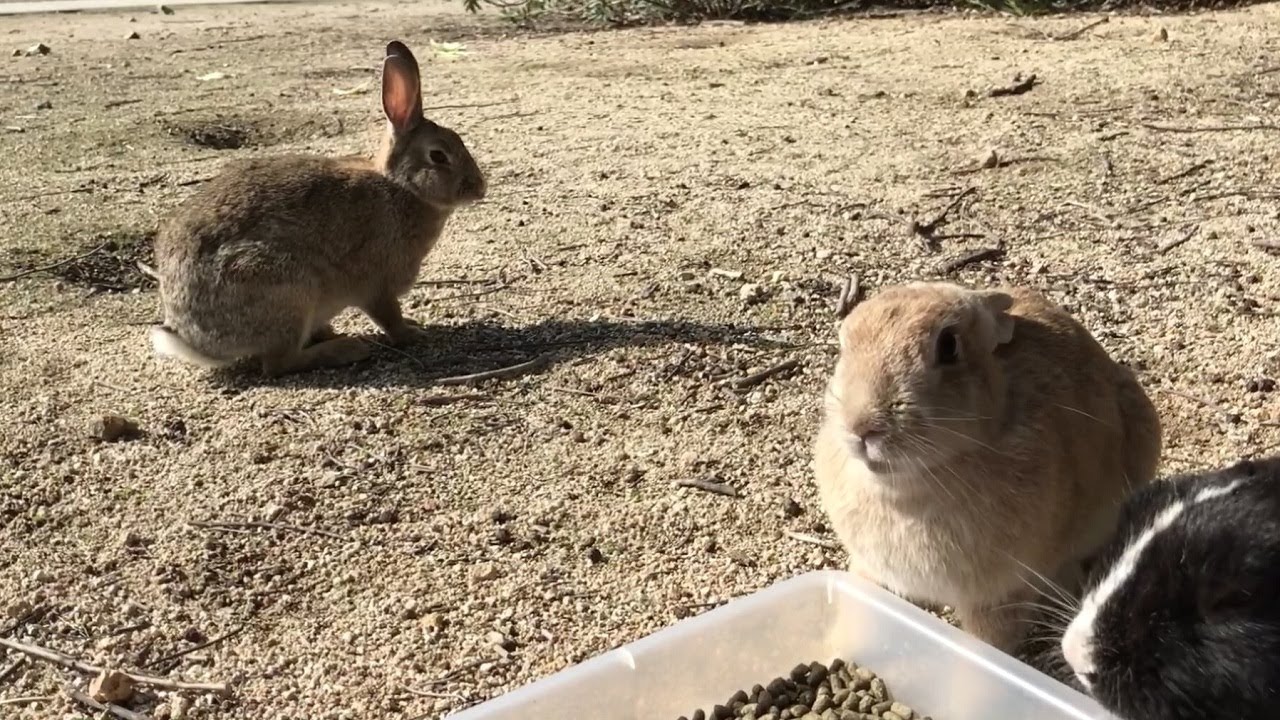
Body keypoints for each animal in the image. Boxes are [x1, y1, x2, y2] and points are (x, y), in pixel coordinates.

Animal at [149, 40, 486, 377]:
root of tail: (194, 339)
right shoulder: (376, 287)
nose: (479, 188)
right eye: (438, 156)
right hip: (286, 289)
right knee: (278, 364)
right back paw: (345, 349)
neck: (402, 188)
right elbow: (390, 317)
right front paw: (414, 333)